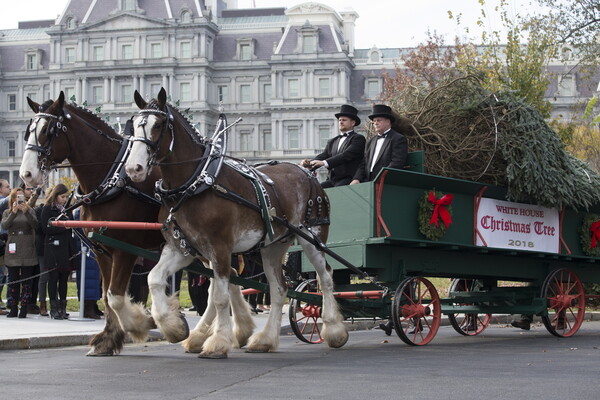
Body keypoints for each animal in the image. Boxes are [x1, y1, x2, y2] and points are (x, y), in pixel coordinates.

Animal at [19, 92, 163, 354]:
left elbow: (116, 295)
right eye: (28, 130)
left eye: (48, 130)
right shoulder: (101, 250)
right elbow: (107, 296)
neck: (112, 180)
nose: (26, 174)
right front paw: (108, 339)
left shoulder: (124, 250)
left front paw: (139, 324)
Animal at [124, 89, 346, 358]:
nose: (133, 168)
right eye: (134, 124)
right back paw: (265, 339)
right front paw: (173, 327)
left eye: (159, 124)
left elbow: (219, 296)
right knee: (279, 289)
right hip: (272, 247)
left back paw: (334, 330)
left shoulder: (220, 247)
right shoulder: (183, 248)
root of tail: (308, 172)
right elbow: (154, 278)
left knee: (325, 277)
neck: (195, 183)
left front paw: (218, 341)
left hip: (312, 238)